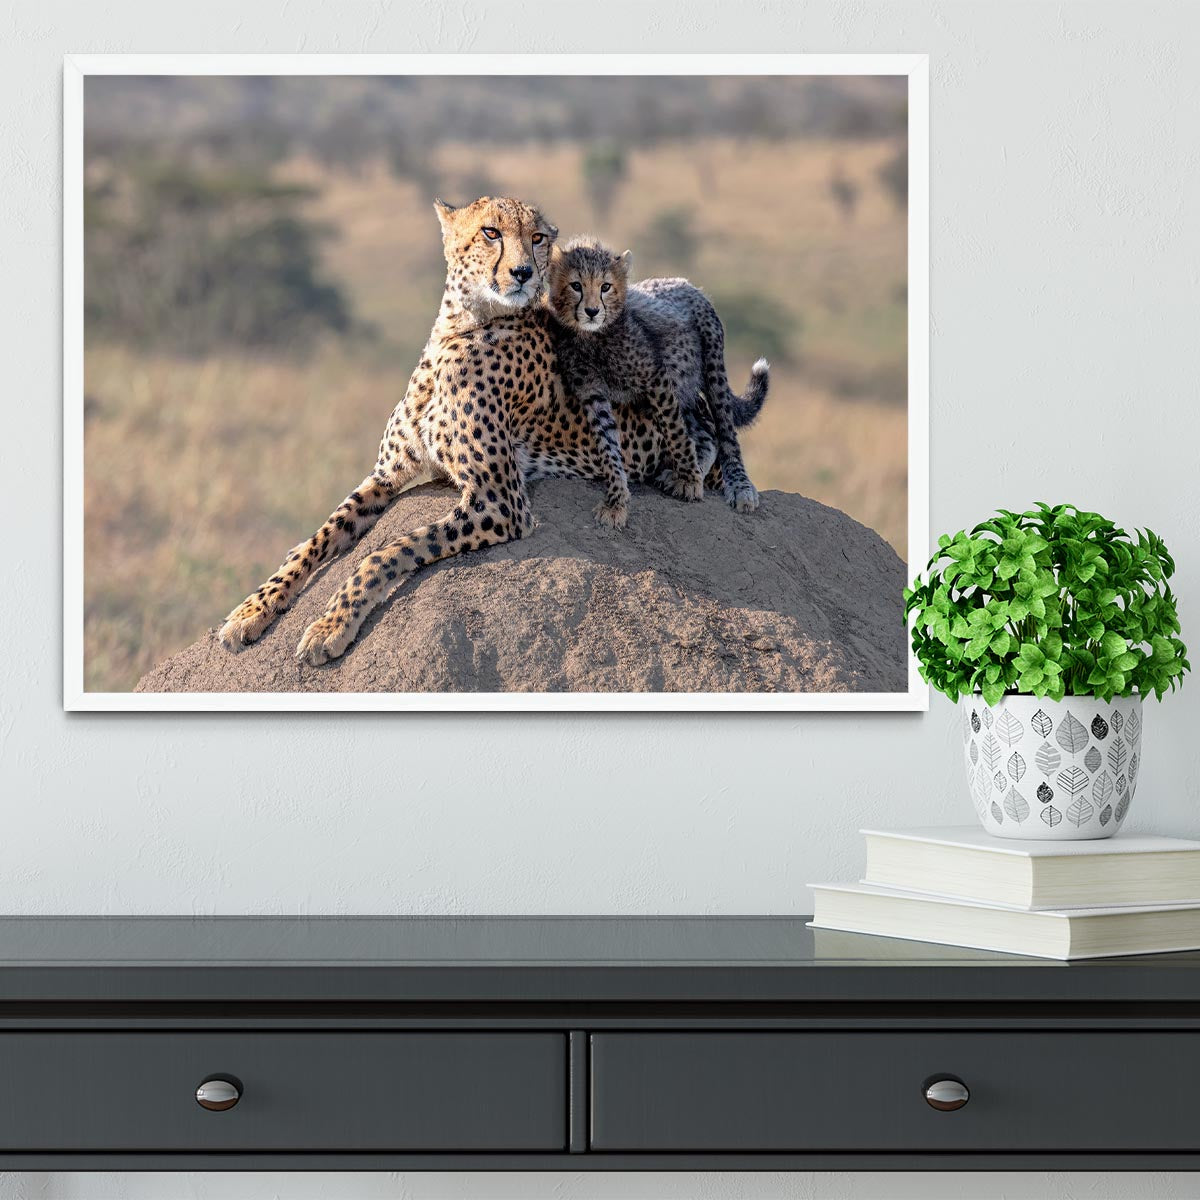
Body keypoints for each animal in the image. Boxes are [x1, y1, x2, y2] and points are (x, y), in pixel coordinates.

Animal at [218, 196, 678, 666]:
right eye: (491, 232)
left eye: (537, 238)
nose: (523, 273)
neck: (462, 326)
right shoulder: (386, 475)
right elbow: (322, 534)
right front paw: (253, 608)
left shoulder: (502, 503)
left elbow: (388, 550)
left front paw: (331, 625)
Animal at [547, 237, 770, 514]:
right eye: (576, 286)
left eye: (605, 287)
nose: (591, 311)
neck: (592, 337)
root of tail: (684, 282)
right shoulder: (592, 392)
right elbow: (608, 443)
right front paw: (616, 499)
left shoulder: (656, 379)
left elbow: (676, 433)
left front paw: (690, 481)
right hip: (681, 387)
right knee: (705, 432)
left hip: (711, 367)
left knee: (725, 430)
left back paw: (739, 487)